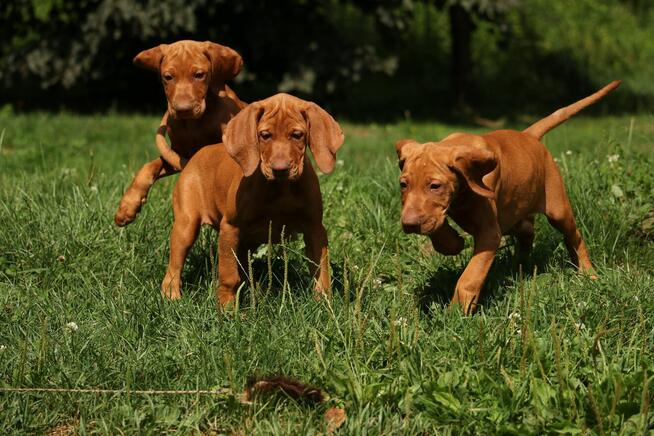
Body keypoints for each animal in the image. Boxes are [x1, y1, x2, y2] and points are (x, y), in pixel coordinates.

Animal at [114, 40, 247, 228]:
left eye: (199, 75)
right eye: (168, 77)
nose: (183, 109)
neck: (195, 123)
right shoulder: (178, 156)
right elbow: (148, 167)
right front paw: (127, 206)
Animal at [398, 81, 624, 314]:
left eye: (435, 186)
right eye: (403, 185)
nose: (409, 224)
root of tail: (528, 135)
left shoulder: (490, 233)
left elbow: (470, 276)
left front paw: (457, 311)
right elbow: (437, 225)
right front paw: (452, 243)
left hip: (557, 210)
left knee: (574, 237)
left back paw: (588, 273)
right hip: (515, 214)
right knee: (527, 231)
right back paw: (520, 264)